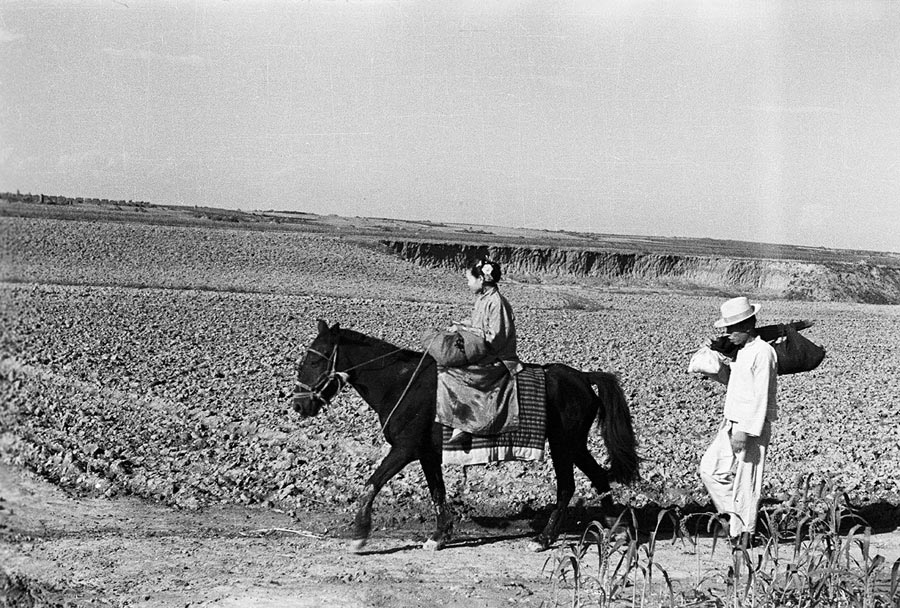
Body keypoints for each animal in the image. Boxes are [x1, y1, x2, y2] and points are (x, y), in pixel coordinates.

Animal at [292, 320, 636, 552]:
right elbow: (437, 492)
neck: (400, 384)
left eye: (315, 359)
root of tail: (583, 377)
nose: (298, 404)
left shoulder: (404, 449)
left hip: (562, 445)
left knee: (567, 487)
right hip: (575, 444)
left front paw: (360, 535)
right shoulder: (426, 453)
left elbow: (372, 483)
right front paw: (439, 536)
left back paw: (545, 538)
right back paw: (615, 529)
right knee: (598, 477)